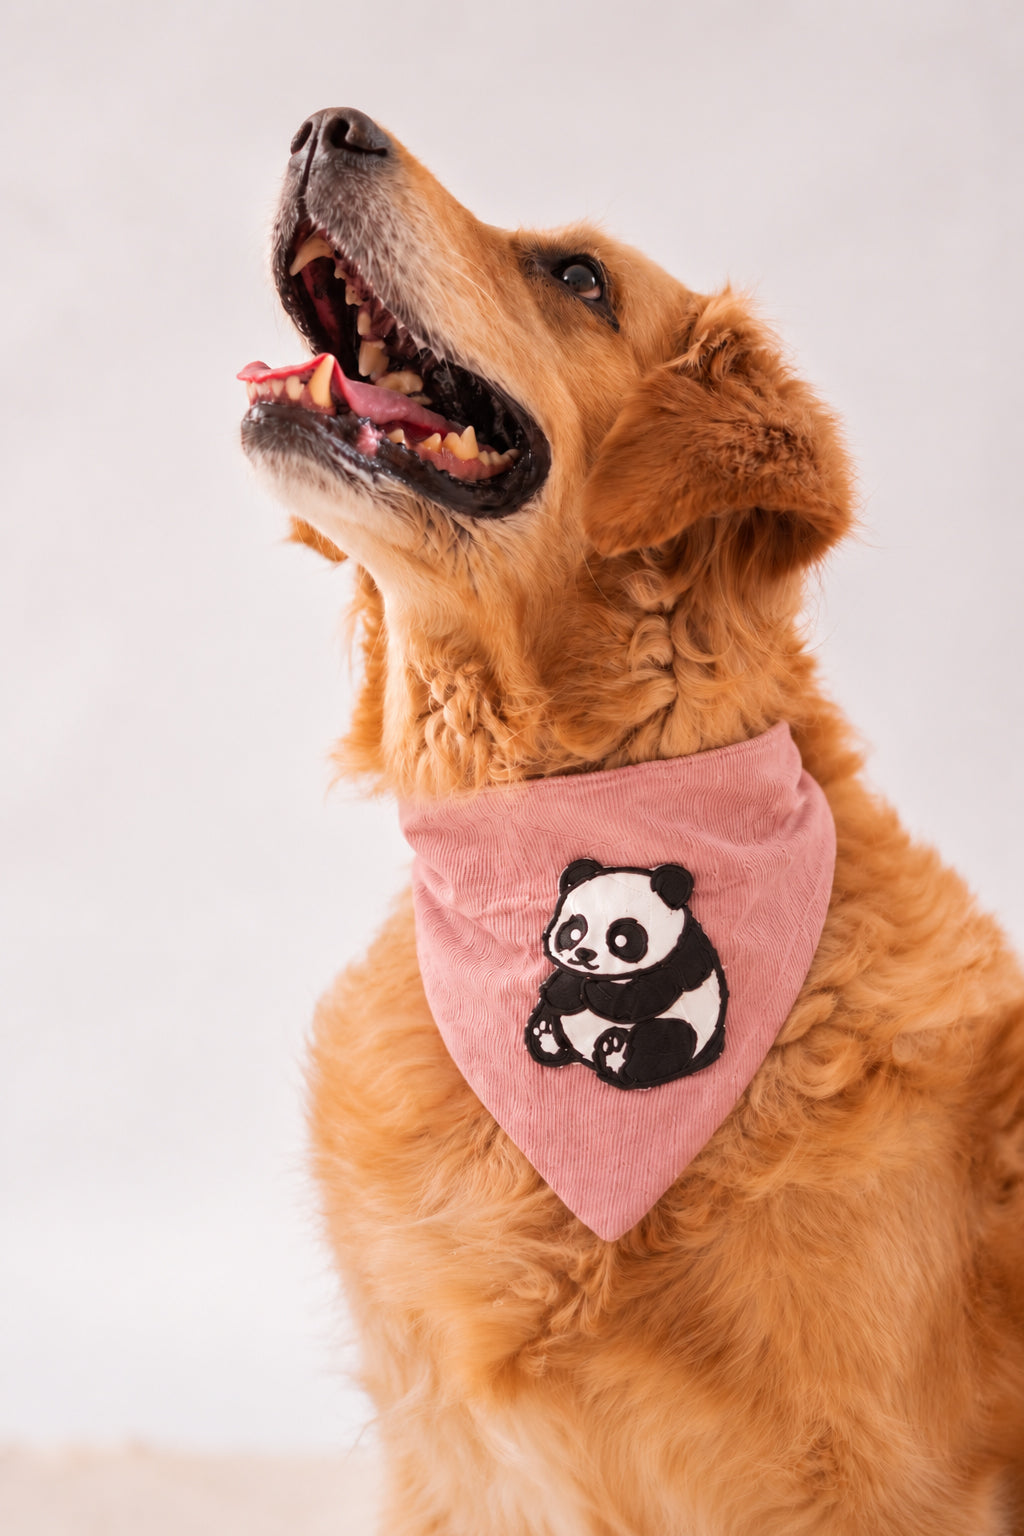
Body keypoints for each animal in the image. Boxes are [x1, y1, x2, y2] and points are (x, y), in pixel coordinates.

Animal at [525, 858, 728, 1090]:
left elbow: (637, 998)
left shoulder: (681, 960)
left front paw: (587, 989)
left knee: (661, 1043)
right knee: (549, 1017)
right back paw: (546, 1035)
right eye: (574, 932)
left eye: (622, 939)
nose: (584, 954)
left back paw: (614, 1054)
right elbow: (562, 990)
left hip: (686, 1029)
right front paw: (565, 990)